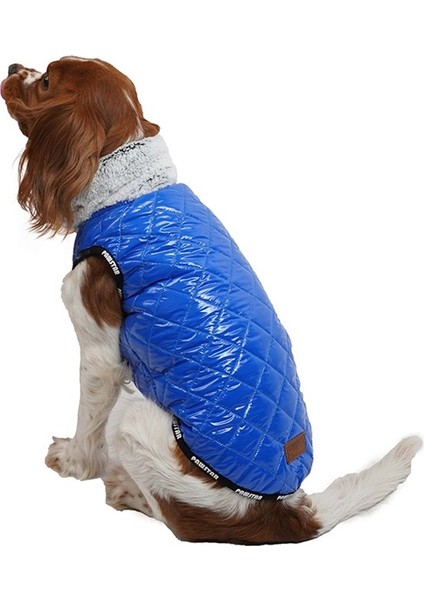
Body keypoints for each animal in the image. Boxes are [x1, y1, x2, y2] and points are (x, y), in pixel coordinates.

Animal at [2, 56, 421, 544]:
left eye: (47, 81)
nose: (12, 65)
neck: (126, 188)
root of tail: (291, 513)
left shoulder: (99, 347)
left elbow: (88, 417)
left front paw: (73, 461)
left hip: (138, 425)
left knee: (181, 521)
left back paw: (125, 489)